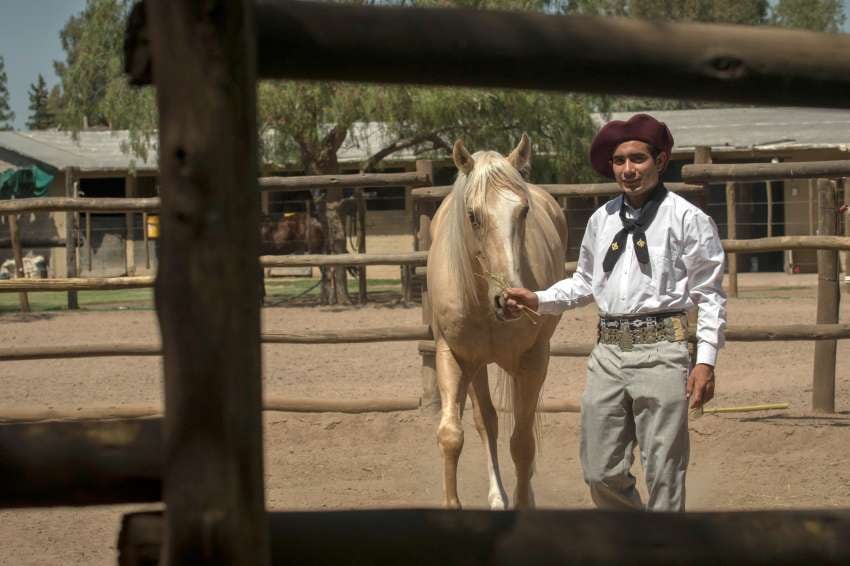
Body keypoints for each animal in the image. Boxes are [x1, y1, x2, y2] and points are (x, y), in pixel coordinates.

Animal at [430, 134, 564, 510]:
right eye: (472, 216)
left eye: (524, 211)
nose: (510, 299)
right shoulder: (453, 356)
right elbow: (452, 435)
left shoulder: (533, 360)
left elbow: (522, 442)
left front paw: (523, 502)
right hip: (478, 366)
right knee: (486, 421)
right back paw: (497, 496)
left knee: (520, 429)